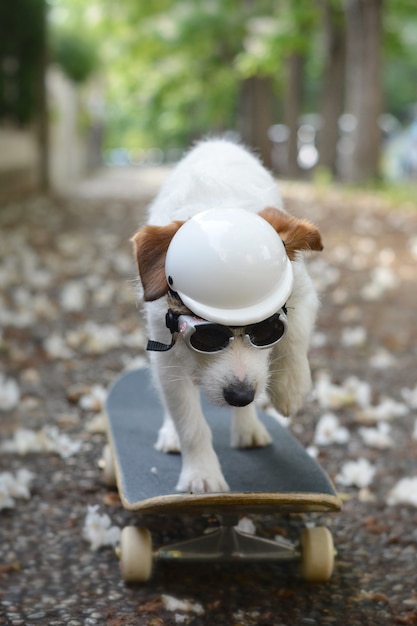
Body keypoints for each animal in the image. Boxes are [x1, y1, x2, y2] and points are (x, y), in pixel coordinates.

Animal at [132, 138, 324, 492]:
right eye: (207, 335)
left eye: (267, 329)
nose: (240, 395)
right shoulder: (166, 351)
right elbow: (189, 421)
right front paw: (201, 473)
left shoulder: (302, 293)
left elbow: (294, 336)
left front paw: (290, 386)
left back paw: (249, 425)